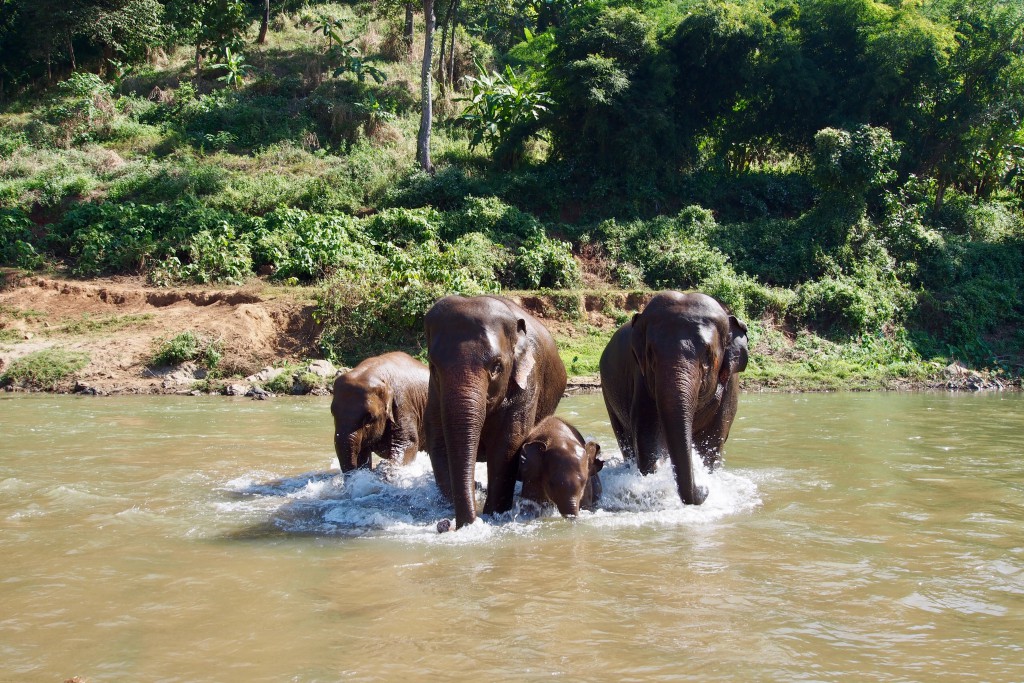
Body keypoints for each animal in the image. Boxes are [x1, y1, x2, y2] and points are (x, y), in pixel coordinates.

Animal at [423, 294, 569, 528]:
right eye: (433, 366)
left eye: (497, 367)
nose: (447, 526)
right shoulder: (434, 393)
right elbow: (438, 439)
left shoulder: (527, 381)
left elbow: (508, 442)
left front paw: (493, 515)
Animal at [598, 290, 753, 505]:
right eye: (650, 353)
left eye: (707, 355)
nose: (703, 489)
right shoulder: (642, 378)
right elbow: (648, 434)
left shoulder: (730, 386)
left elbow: (712, 440)